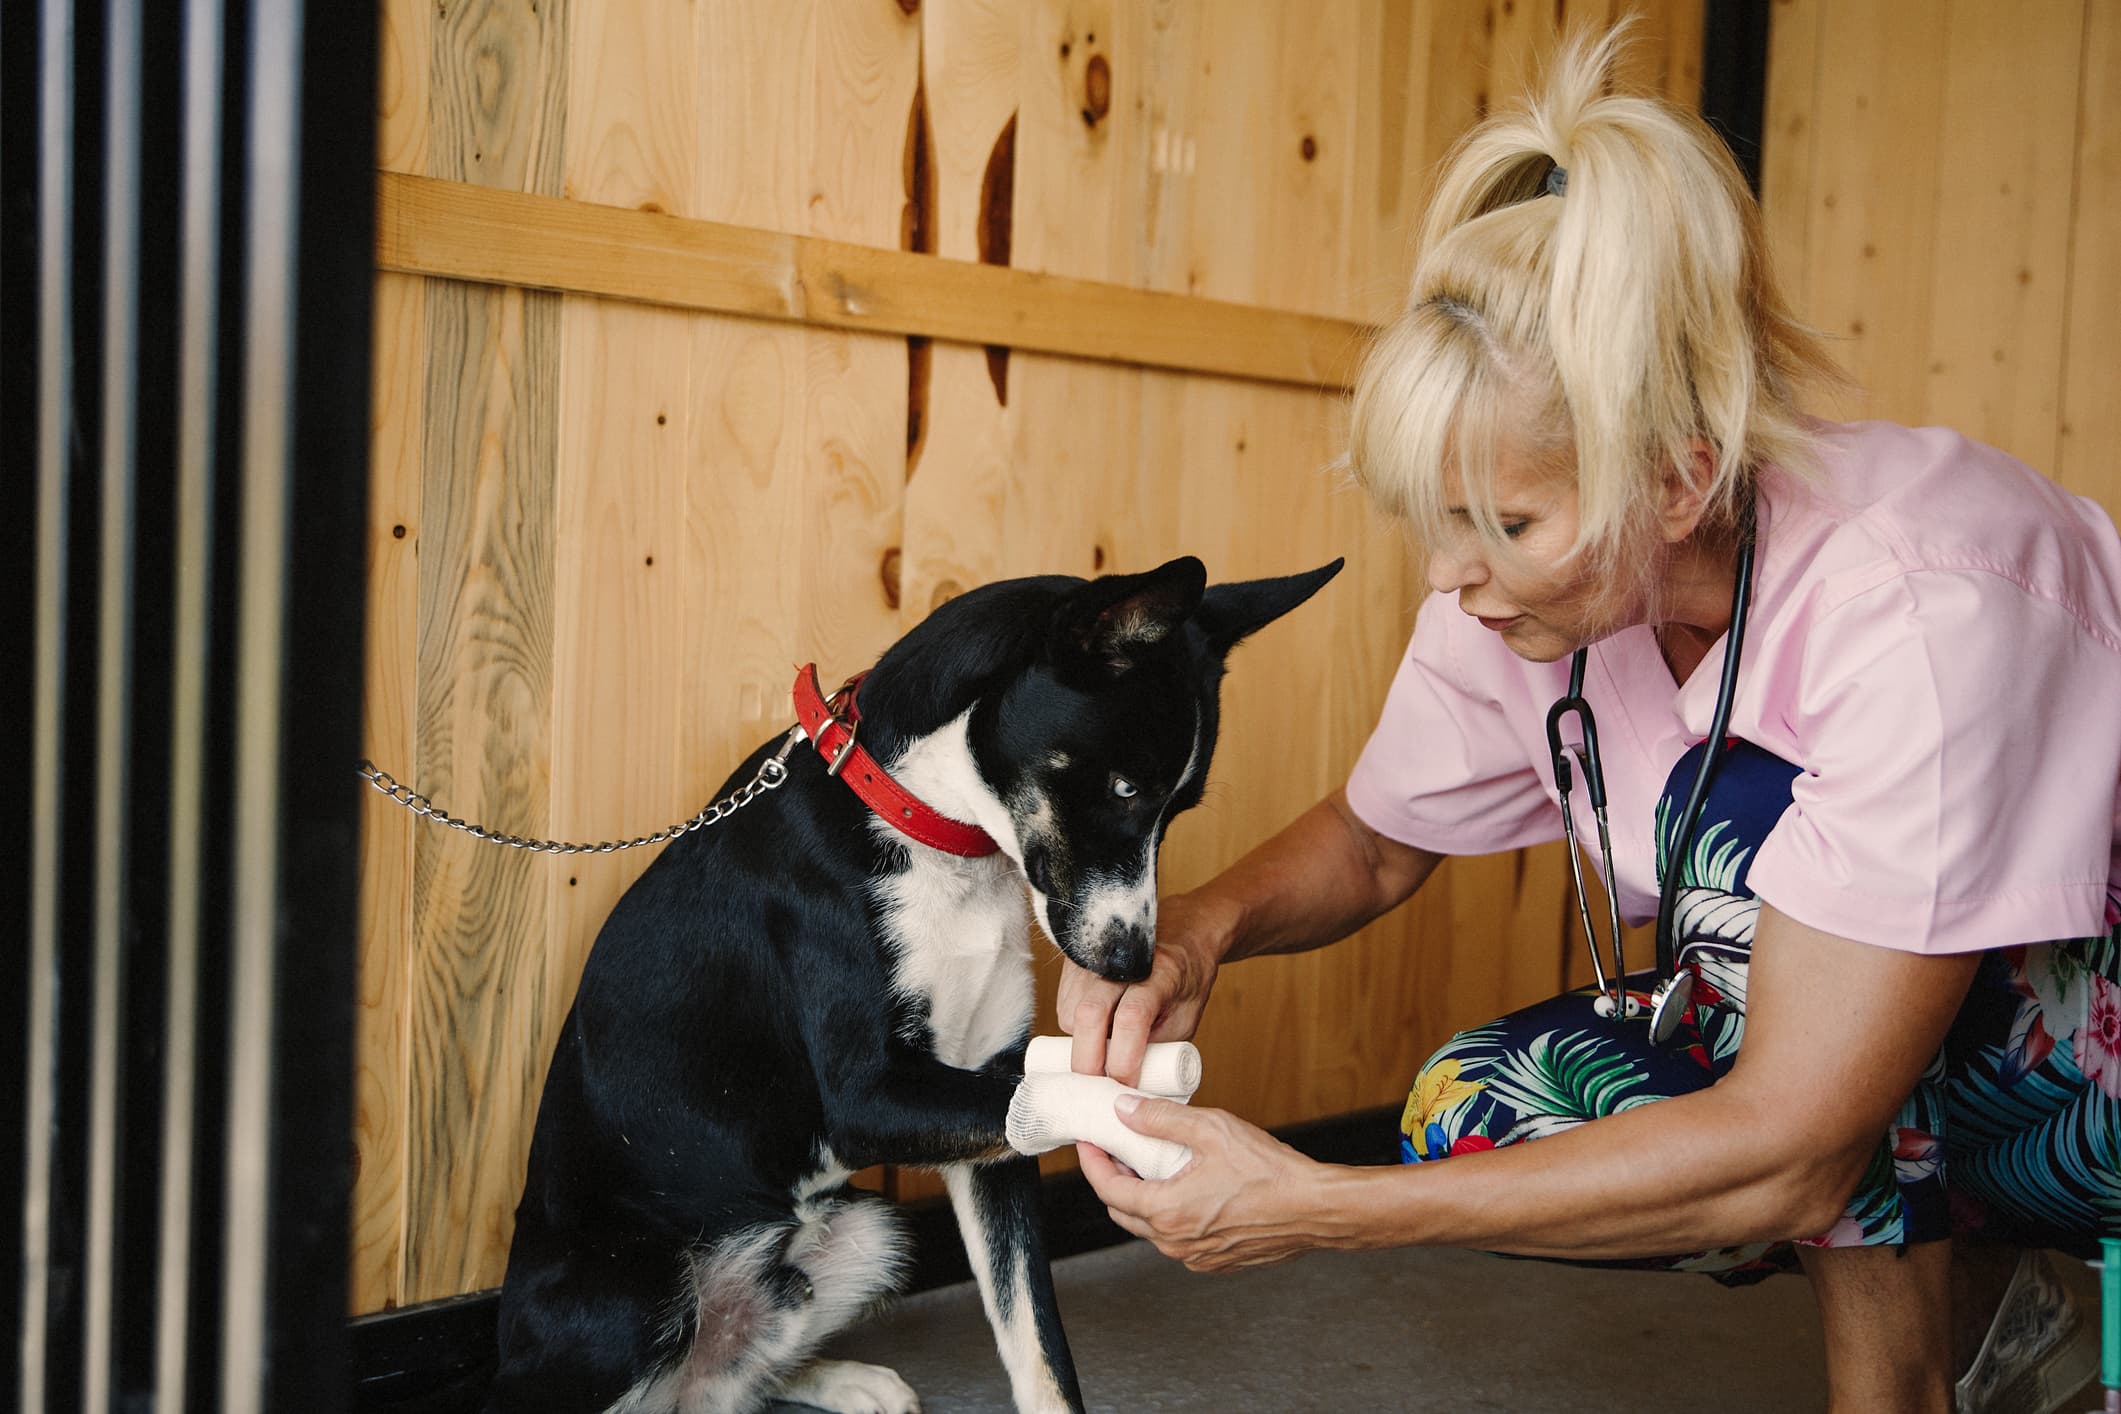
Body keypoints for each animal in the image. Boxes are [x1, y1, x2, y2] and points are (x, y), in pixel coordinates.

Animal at [485, 555, 1331, 1414]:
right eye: (1125, 790)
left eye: (1177, 807)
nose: (1129, 965)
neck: (931, 834)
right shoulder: (872, 1098)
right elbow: (1073, 1100)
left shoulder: (996, 1119)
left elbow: (1038, 1346)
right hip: (632, 1296)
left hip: (871, 1233)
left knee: (731, 1382)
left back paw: (843, 1381)